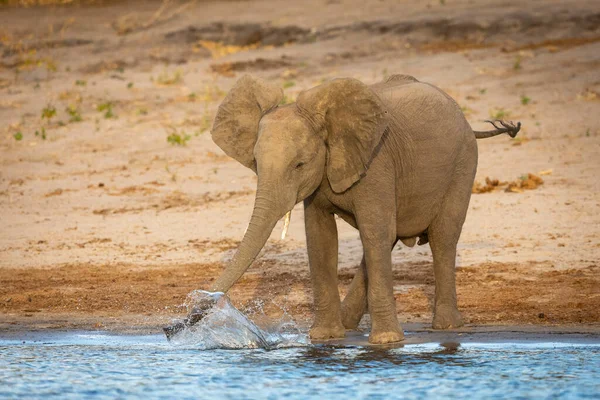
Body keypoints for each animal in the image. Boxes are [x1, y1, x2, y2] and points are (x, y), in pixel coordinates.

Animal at [199, 74, 516, 344]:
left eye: (300, 164)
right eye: (255, 163)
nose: (200, 300)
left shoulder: (376, 164)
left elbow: (374, 231)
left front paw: (387, 342)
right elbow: (321, 238)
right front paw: (325, 337)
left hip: (463, 164)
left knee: (441, 238)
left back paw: (447, 326)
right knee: (389, 240)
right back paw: (348, 323)